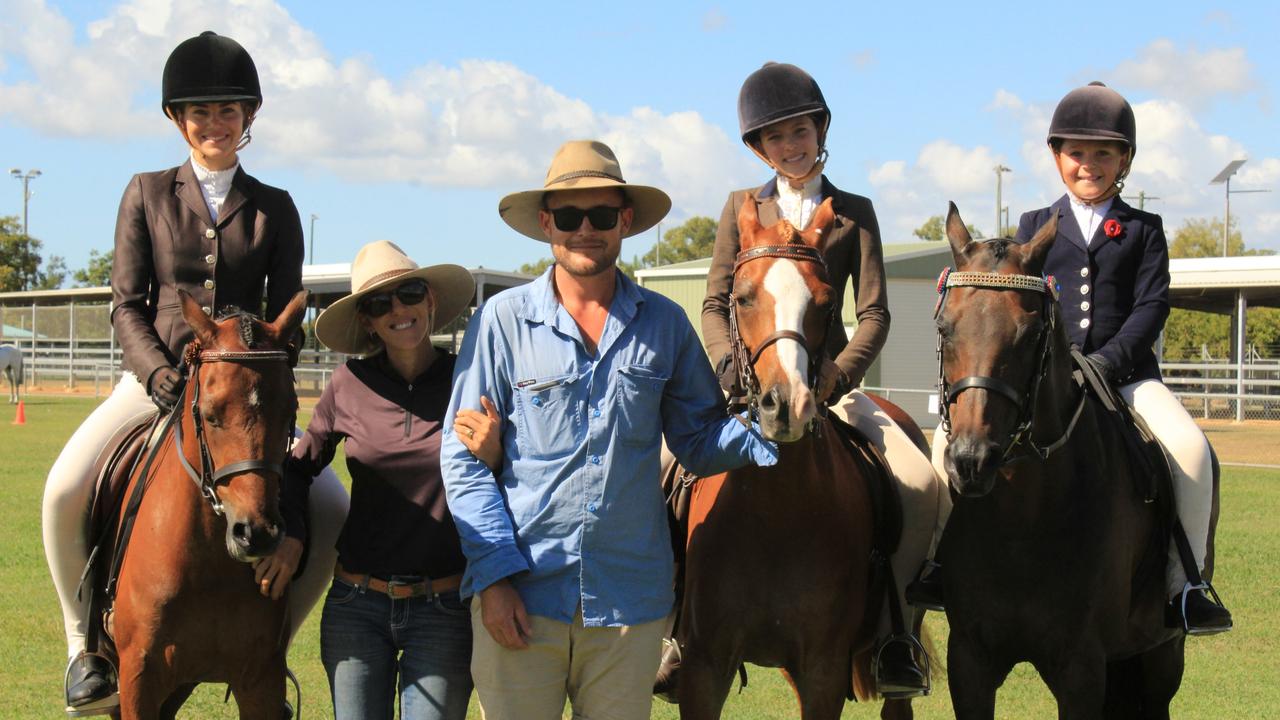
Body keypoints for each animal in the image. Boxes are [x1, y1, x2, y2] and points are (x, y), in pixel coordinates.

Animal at [103, 288, 307, 712]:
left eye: (290, 411)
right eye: (211, 415)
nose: (256, 534)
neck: (209, 567)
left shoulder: (262, 679)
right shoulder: (138, 677)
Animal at [675, 196, 916, 717]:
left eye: (825, 303)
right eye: (743, 297)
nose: (787, 405)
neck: (775, 509)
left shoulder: (824, 671)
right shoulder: (704, 667)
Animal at [931, 203, 1187, 717]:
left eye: (1031, 334)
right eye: (946, 329)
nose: (971, 461)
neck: (1021, 519)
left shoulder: (1081, 669)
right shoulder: (969, 659)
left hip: (1161, 658)